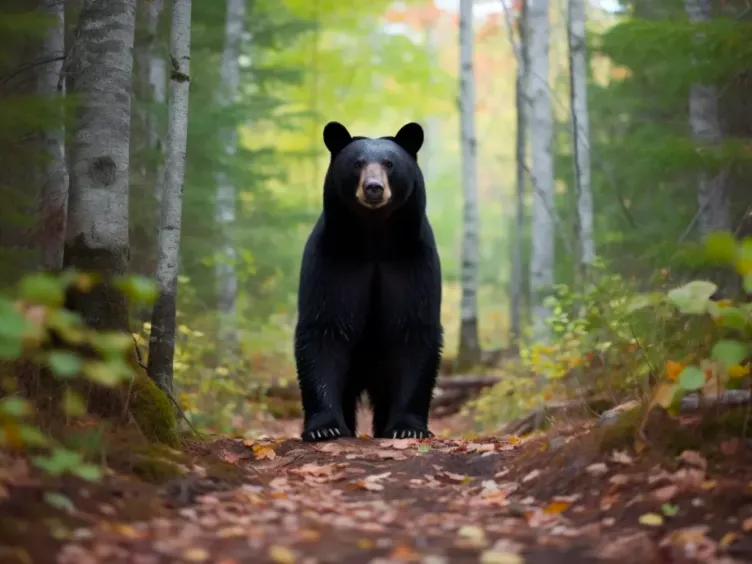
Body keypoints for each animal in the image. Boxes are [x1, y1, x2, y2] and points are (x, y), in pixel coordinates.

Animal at [294, 121, 444, 442]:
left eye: (389, 163)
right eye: (357, 163)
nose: (373, 187)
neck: (374, 239)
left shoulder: (411, 262)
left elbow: (414, 331)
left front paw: (407, 427)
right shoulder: (334, 261)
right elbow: (324, 329)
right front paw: (325, 427)